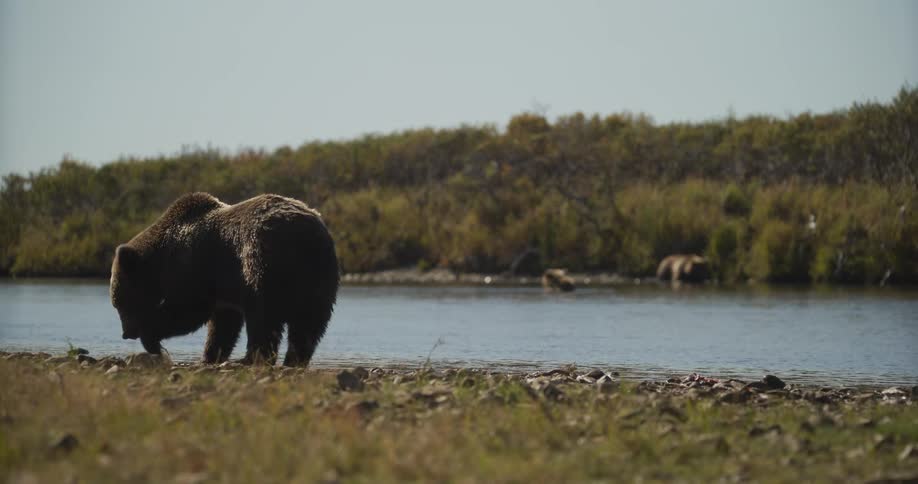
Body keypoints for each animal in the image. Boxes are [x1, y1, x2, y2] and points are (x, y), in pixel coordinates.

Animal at [110, 192, 340, 367]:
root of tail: (306, 234)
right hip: (318, 276)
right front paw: (210, 356)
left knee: (264, 317)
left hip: (261, 263)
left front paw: (151, 338)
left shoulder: (194, 264)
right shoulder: (224, 287)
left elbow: (189, 310)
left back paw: (250, 359)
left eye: (119, 301)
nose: (126, 333)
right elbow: (223, 324)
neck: (161, 259)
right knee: (309, 324)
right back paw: (294, 359)